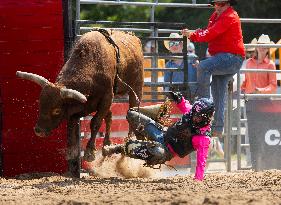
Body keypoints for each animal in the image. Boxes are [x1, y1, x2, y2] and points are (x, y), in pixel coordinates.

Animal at [16, 29, 143, 165]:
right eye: (40, 104)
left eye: (57, 110)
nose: (39, 130)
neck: (92, 65)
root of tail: (134, 38)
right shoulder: (82, 105)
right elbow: (72, 124)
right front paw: (71, 151)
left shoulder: (107, 97)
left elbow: (95, 123)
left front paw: (89, 152)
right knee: (109, 116)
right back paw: (106, 144)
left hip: (136, 89)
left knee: (131, 111)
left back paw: (128, 141)